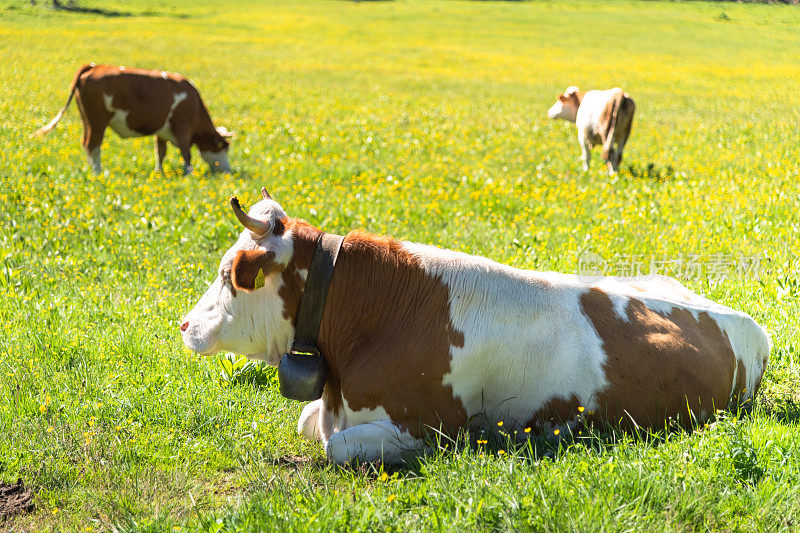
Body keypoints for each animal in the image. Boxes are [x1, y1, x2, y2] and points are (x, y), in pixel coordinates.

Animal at [34, 62, 234, 175]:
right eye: (224, 147)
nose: (228, 172)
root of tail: (95, 66)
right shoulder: (182, 128)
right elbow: (186, 153)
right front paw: (189, 174)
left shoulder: (161, 131)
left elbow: (160, 152)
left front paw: (159, 172)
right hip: (97, 121)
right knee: (93, 144)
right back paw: (98, 172)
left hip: (87, 120)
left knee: (86, 143)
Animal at [180, 189, 768, 464]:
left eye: (230, 275)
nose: (185, 323)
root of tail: (745, 322)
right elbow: (309, 424)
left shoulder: (424, 426)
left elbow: (338, 447)